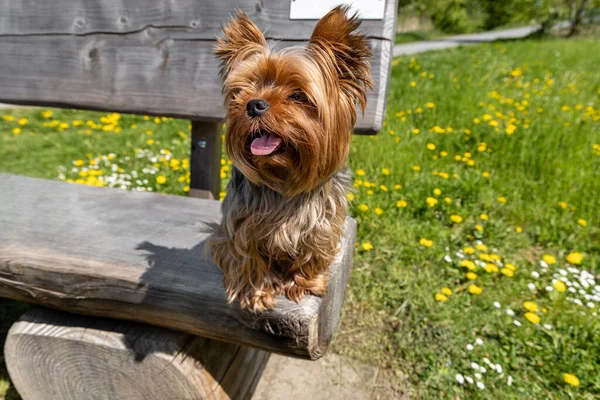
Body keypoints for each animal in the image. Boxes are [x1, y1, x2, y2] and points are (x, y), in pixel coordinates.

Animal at [209, 7, 372, 312]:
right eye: (244, 90)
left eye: (297, 95)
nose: (254, 104)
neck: (284, 180)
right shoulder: (240, 226)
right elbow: (248, 257)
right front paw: (257, 293)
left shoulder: (323, 223)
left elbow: (313, 251)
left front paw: (305, 283)